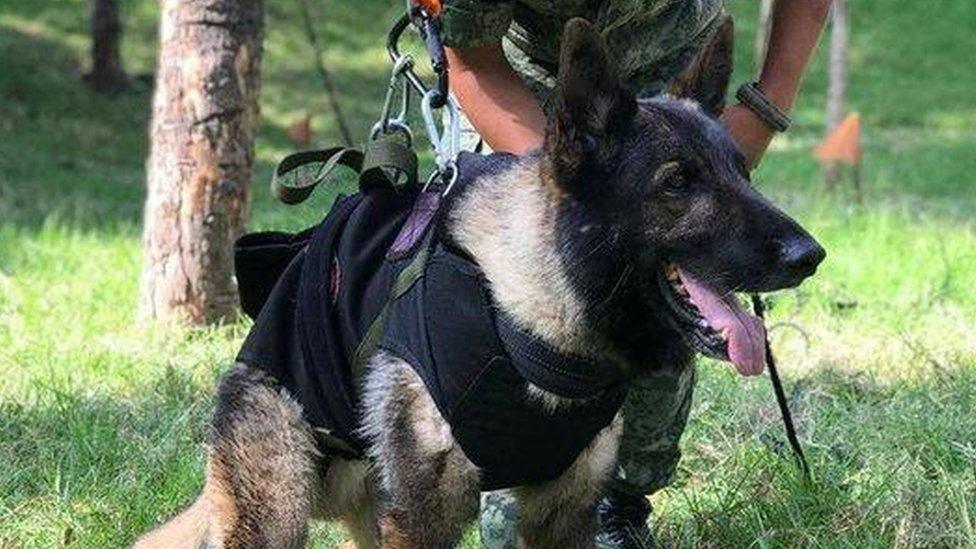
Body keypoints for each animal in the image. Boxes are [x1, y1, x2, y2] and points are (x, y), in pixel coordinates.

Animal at [137, 16, 824, 544]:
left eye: (742, 172)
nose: (810, 255)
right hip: (278, 509)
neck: (533, 322)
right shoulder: (423, 518)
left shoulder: (565, 511)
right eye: (678, 182)